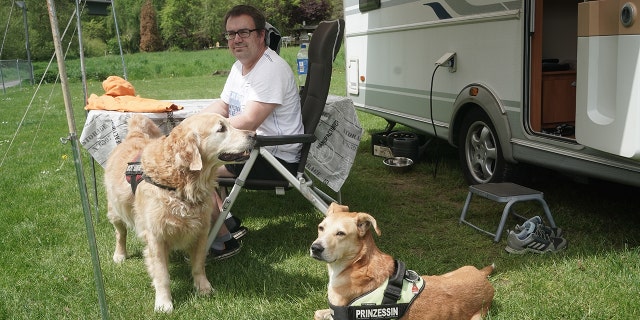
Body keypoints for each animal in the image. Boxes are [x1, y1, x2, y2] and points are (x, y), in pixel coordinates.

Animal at [104, 113, 255, 312]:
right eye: (221, 128)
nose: (254, 135)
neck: (181, 183)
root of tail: (134, 134)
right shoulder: (156, 237)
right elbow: (162, 275)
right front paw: (163, 302)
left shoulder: (201, 230)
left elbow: (198, 265)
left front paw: (204, 288)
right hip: (116, 210)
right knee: (120, 234)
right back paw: (120, 254)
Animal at [310, 204, 496, 318]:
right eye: (321, 228)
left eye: (340, 233)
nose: (315, 248)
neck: (357, 264)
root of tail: (482, 277)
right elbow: (317, 313)